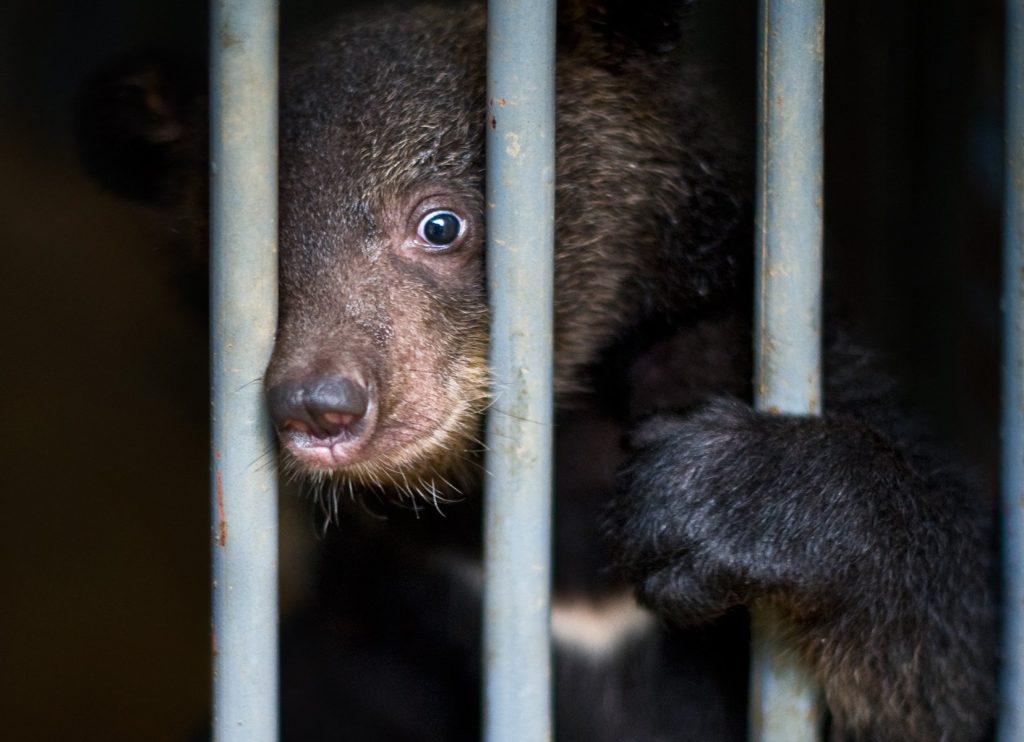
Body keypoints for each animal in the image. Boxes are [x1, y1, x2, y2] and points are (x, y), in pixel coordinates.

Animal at [76, 1, 997, 739]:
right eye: (249, 272)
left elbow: (961, 653)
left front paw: (725, 497)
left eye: (440, 223)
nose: (322, 405)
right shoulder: (378, 626)